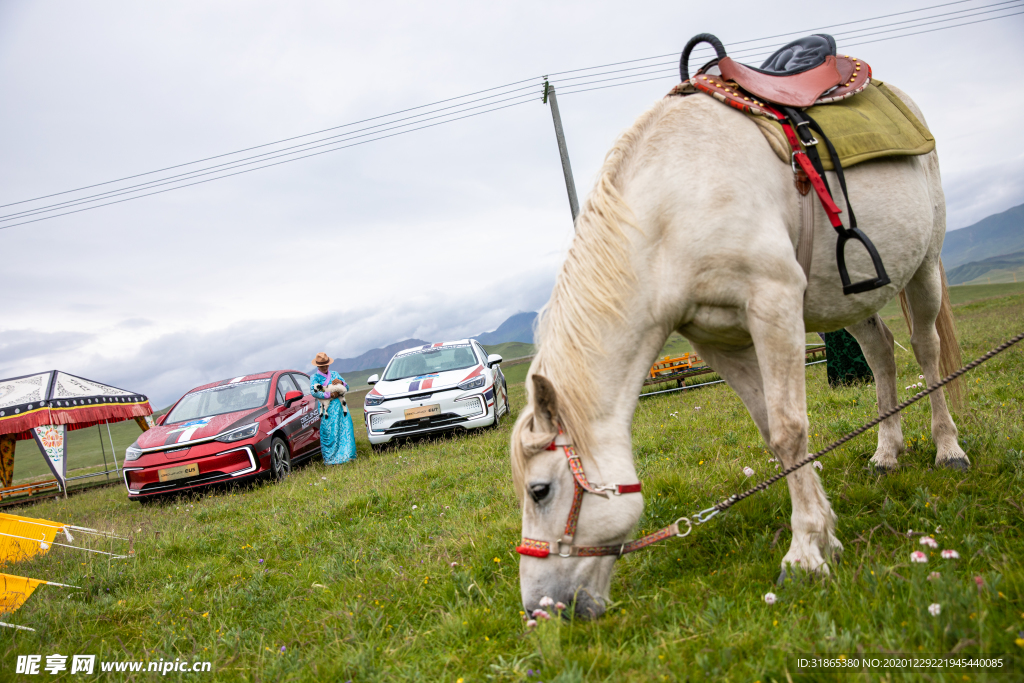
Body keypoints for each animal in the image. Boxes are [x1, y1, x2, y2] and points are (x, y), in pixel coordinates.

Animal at [512, 83, 966, 618]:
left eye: (540, 490)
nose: (539, 609)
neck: (674, 207)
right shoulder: (717, 340)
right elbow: (773, 432)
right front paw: (826, 536)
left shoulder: (774, 304)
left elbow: (790, 430)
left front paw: (804, 554)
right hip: (852, 299)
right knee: (881, 354)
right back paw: (887, 453)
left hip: (924, 267)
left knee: (926, 350)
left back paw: (948, 448)